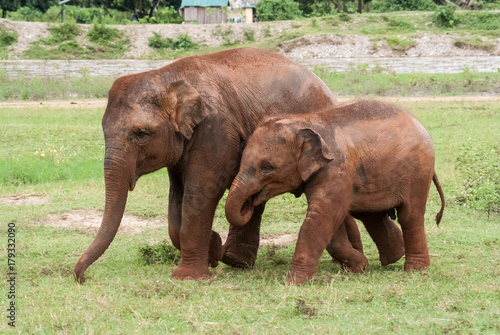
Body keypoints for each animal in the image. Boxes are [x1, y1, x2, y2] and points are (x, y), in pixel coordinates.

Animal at [73, 48, 402, 284]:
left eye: (141, 133)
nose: (81, 277)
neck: (168, 76)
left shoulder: (216, 129)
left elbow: (202, 191)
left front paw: (191, 276)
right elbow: (177, 197)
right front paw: (213, 251)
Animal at [225, 100, 444, 286]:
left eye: (267, 167)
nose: (250, 202)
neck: (303, 122)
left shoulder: (336, 169)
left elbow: (321, 218)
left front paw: (293, 283)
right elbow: (331, 224)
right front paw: (359, 267)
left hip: (418, 172)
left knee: (410, 216)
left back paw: (415, 269)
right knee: (371, 215)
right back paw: (393, 258)